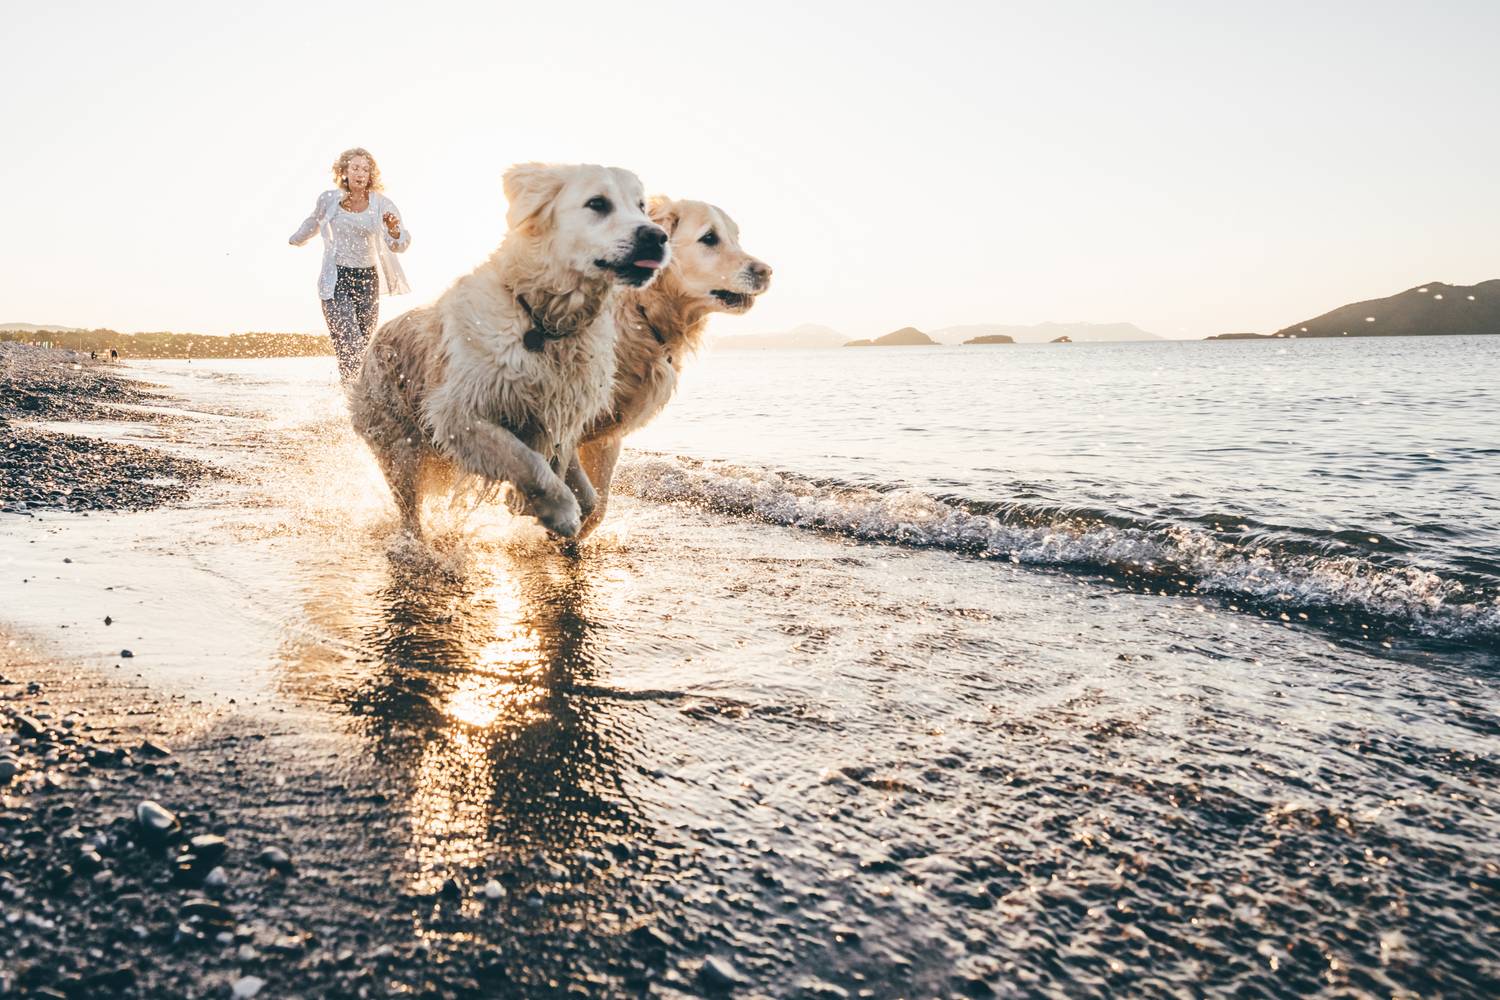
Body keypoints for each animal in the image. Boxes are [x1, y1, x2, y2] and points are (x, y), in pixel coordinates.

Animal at [351, 163, 669, 539]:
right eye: (597, 203)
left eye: (641, 207)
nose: (657, 237)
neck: (545, 323)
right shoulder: (457, 413)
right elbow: (524, 460)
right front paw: (558, 511)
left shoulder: (563, 413)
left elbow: (562, 471)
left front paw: (535, 507)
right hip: (400, 443)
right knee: (408, 504)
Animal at [576, 197, 774, 539]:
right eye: (709, 238)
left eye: (736, 237)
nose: (766, 271)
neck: (640, 310)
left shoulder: (607, 432)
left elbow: (596, 506)